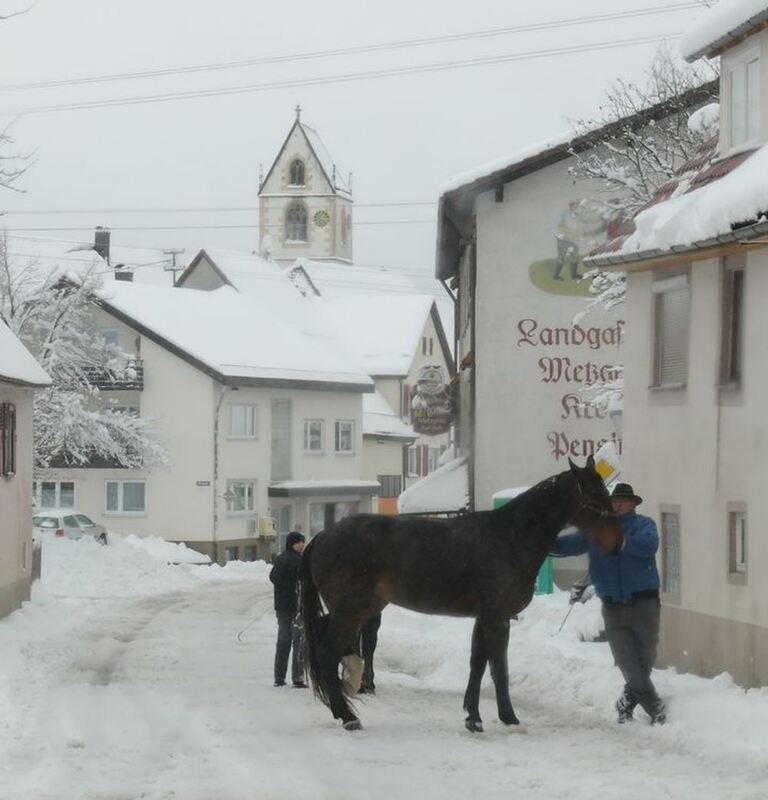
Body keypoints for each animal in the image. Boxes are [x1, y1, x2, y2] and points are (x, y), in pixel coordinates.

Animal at [296, 456, 620, 732]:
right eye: (595, 496)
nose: (619, 542)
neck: (509, 537)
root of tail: (321, 537)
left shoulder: (484, 617)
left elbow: (478, 664)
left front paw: (473, 717)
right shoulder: (498, 618)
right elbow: (499, 667)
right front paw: (509, 717)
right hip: (349, 612)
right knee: (327, 653)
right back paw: (347, 716)